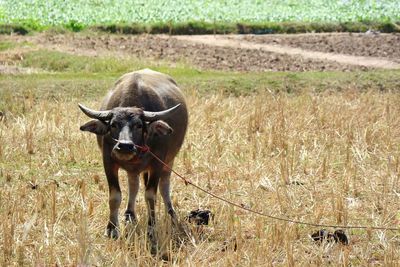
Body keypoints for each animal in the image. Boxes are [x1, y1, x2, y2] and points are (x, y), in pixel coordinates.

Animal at [80, 69, 190, 253]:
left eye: (139, 125)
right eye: (113, 124)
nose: (125, 146)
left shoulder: (157, 164)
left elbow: (150, 196)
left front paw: (151, 228)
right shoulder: (108, 162)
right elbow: (115, 196)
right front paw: (111, 229)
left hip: (169, 161)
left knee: (164, 185)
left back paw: (171, 213)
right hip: (134, 169)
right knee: (134, 185)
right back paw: (129, 214)